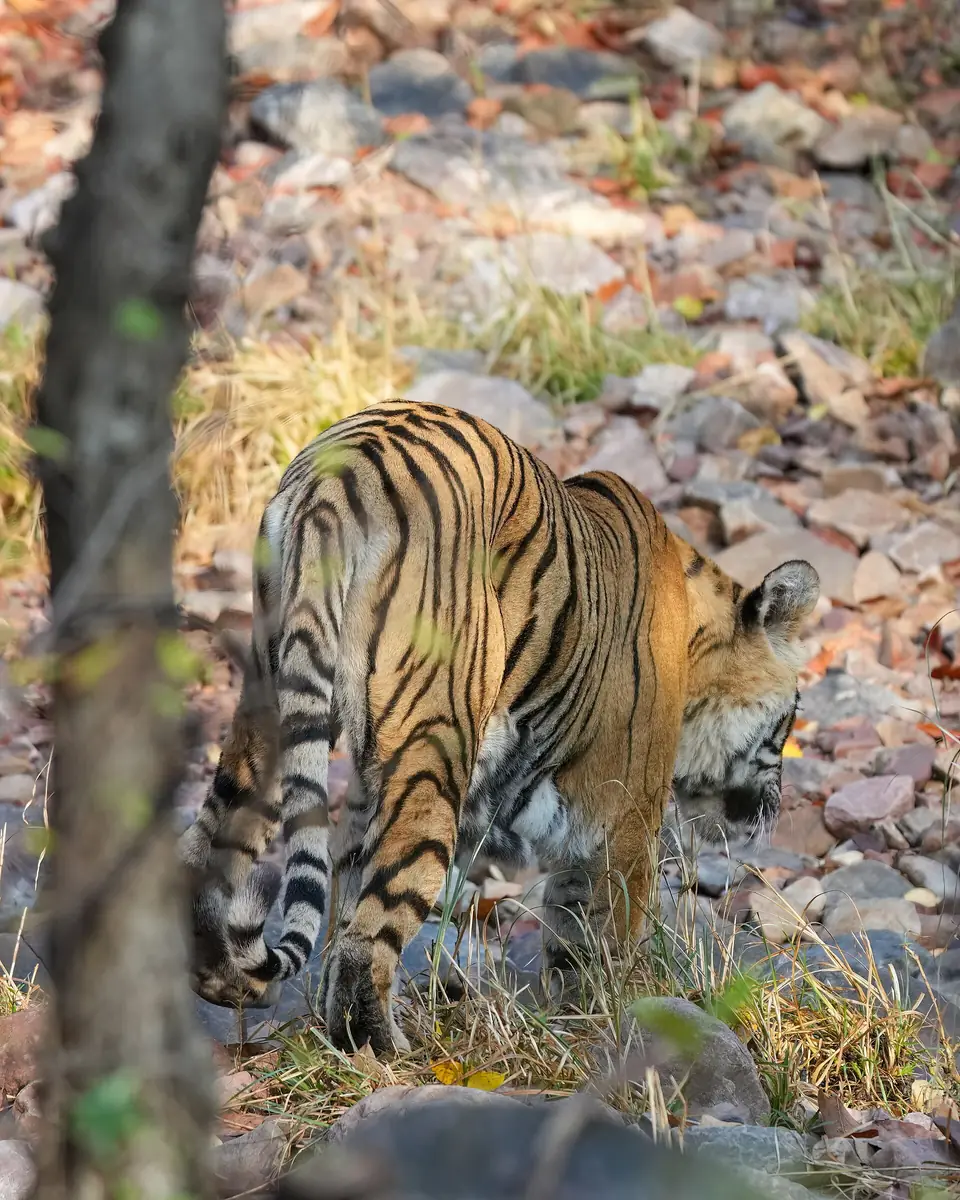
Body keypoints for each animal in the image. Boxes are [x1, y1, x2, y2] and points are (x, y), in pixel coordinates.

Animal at [179, 398, 819, 1056]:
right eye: (790, 720)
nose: (776, 805)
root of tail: (338, 475)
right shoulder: (627, 818)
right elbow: (602, 938)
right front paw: (612, 1022)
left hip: (269, 706)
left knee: (214, 864)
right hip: (434, 747)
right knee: (374, 929)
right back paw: (386, 1052)